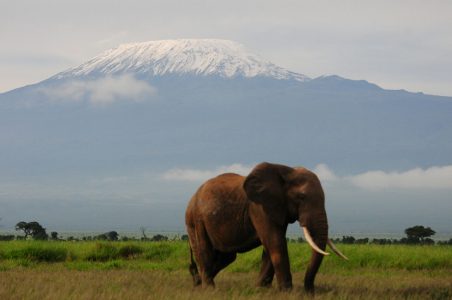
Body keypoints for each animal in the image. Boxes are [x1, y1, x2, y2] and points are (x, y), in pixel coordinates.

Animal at [185, 163, 346, 292]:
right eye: (301, 197)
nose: (310, 292)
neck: (287, 170)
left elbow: (271, 244)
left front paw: (261, 289)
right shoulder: (259, 208)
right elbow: (275, 242)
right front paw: (287, 292)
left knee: (227, 256)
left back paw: (197, 281)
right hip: (195, 220)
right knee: (204, 250)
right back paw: (208, 288)